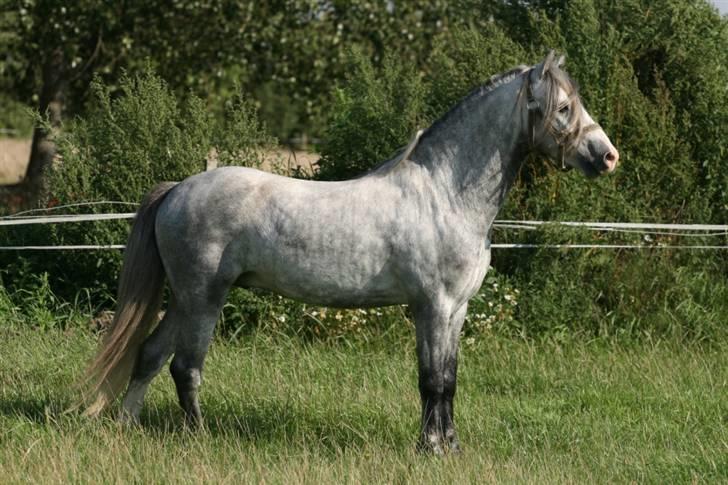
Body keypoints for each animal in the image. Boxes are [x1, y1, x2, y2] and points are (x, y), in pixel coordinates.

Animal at [85, 53, 620, 454]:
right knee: (185, 366)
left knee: (150, 354)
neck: (445, 194)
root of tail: (178, 190)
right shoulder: (433, 306)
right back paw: (198, 436)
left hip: (183, 298)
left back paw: (126, 425)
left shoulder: (457, 310)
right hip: (203, 298)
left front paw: (451, 446)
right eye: (564, 107)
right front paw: (429, 449)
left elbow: (449, 379)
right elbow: (431, 380)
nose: (608, 156)